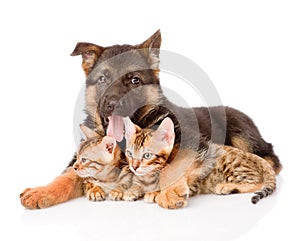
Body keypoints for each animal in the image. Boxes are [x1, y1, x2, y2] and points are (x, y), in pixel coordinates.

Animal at [20, 30, 282, 209]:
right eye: (103, 79)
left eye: (134, 80)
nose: (112, 103)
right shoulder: (81, 159)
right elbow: (68, 175)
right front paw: (42, 191)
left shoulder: (191, 143)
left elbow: (175, 164)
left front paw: (168, 191)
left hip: (241, 133)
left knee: (271, 159)